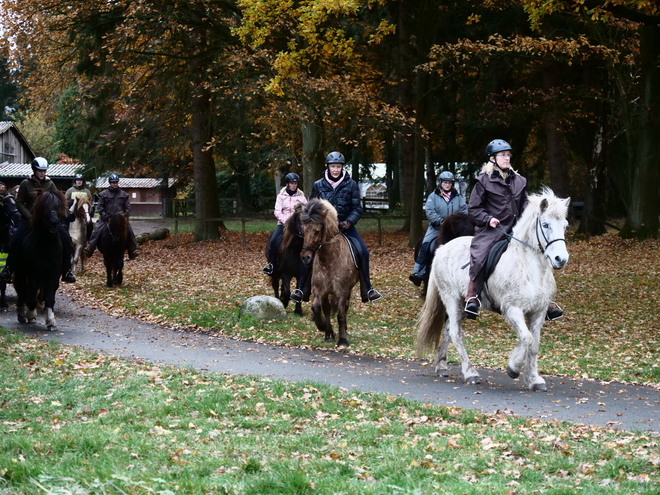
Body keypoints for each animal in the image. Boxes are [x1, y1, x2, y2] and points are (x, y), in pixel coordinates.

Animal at [300, 200, 360, 346]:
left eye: (317, 231)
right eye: (303, 230)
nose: (305, 257)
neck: (329, 259)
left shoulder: (342, 290)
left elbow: (341, 314)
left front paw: (343, 340)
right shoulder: (319, 289)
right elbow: (316, 307)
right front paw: (322, 327)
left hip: (348, 290)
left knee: (345, 308)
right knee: (327, 309)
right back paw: (328, 333)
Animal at [418, 187, 568, 392]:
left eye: (565, 226)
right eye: (545, 225)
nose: (561, 259)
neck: (530, 267)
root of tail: (442, 248)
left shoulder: (538, 312)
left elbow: (534, 344)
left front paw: (534, 379)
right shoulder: (512, 310)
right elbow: (527, 339)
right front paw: (514, 367)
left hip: (463, 306)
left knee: (449, 329)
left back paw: (441, 366)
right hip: (451, 299)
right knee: (456, 333)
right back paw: (470, 373)